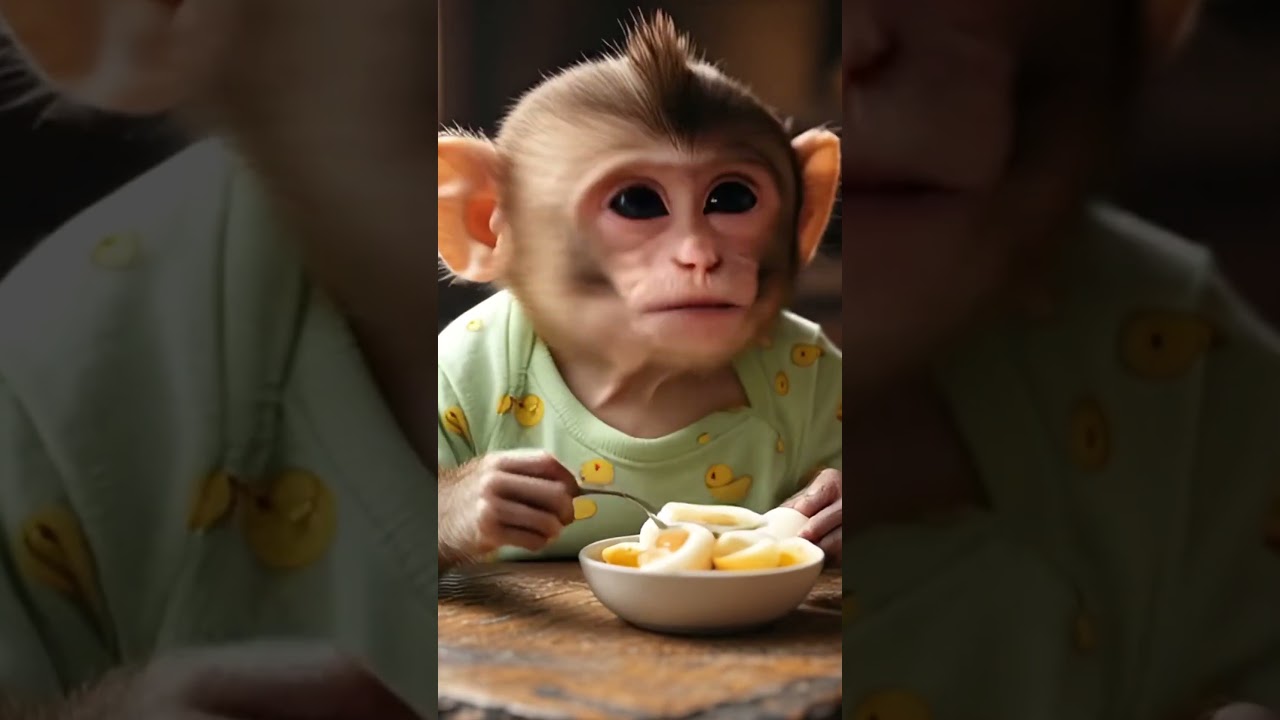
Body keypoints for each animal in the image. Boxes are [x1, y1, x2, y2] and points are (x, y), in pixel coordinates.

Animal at [435, 12, 843, 570]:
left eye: (733, 198)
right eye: (638, 203)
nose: (699, 257)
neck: (639, 381)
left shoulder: (816, 357)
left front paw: (831, 504)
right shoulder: (461, 357)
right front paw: (484, 494)